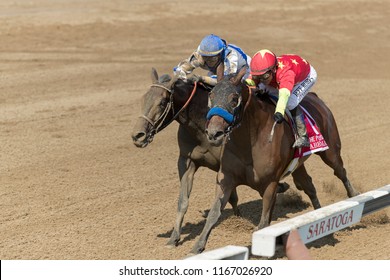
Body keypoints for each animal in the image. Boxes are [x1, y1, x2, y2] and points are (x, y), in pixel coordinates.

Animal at [192, 78, 360, 254]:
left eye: (234, 98)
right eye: (211, 95)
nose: (213, 133)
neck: (251, 141)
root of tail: (315, 97)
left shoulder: (270, 182)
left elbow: (263, 222)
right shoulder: (227, 177)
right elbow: (214, 212)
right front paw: (198, 246)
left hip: (330, 151)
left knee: (340, 171)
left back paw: (354, 194)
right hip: (298, 165)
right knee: (308, 186)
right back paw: (319, 213)